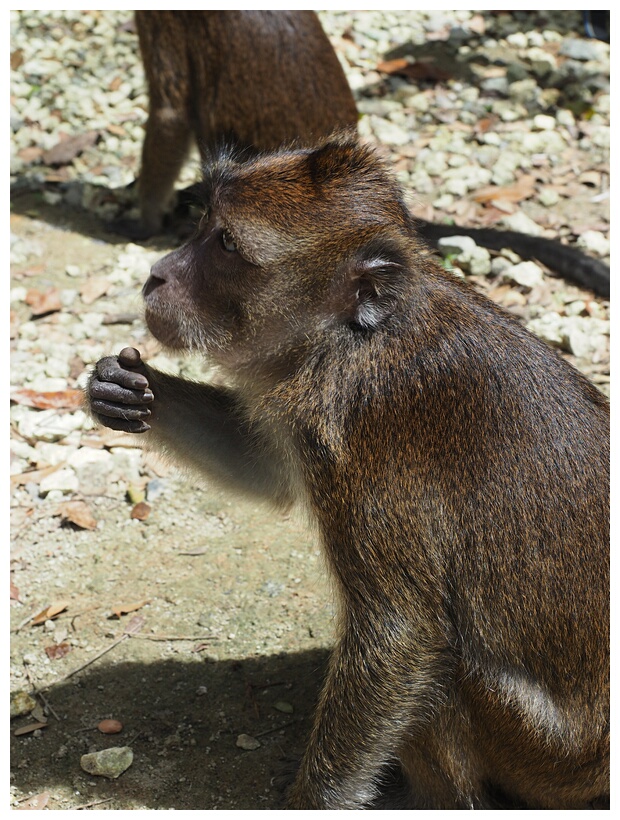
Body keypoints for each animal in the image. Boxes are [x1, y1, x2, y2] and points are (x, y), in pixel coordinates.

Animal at [88, 138, 612, 812]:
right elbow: (266, 467)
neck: (354, 339)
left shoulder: (365, 442)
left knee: (441, 678)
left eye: (226, 244)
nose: (157, 273)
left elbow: (400, 635)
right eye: (203, 225)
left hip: (544, 755)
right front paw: (129, 390)